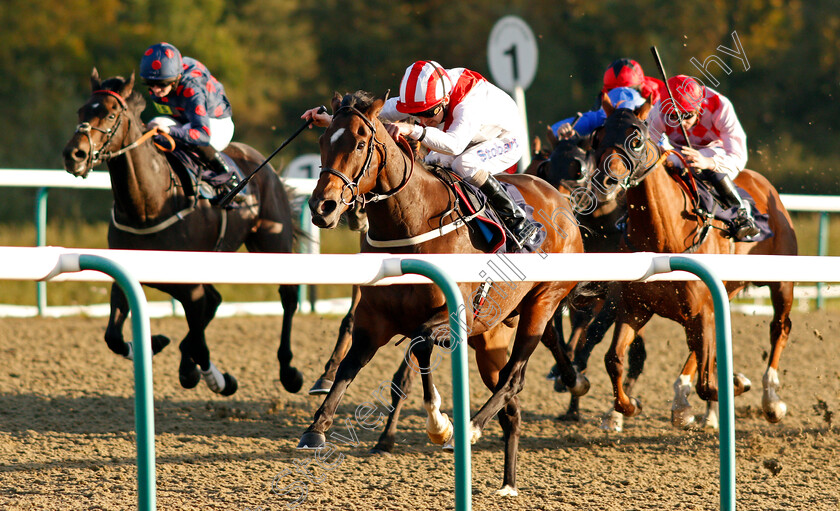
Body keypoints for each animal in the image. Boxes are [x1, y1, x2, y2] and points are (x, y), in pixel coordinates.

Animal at [63, 69, 306, 396]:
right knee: (214, 301)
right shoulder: (130, 272)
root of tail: (264, 164)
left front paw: (214, 378)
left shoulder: (189, 286)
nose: (74, 154)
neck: (147, 206)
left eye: (111, 114)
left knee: (288, 296)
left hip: (272, 240)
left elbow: (199, 339)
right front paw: (154, 344)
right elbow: (113, 336)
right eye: (81, 111)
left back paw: (289, 371)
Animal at [300, 92, 584, 496]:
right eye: (324, 141)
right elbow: (348, 368)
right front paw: (316, 428)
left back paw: (474, 427)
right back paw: (508, 481)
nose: (322, 207)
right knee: (512, 400)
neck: (413, 221)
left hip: (542, 303)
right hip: (491, 340)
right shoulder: (373, 324)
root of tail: (560, 199)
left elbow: (419, 347)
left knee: (514, 377)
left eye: (358, 144)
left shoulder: (451, 315)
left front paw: (439, 424)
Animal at [592, 97, 796, 432]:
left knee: (779, 327)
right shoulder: (635, 308)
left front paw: (737, 382)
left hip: (781, 283)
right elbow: (614, 359)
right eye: (597, 138)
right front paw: (627, 406)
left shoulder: (700, 309)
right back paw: (686, 406)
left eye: (636, 140)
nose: (604, 182)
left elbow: (707, 380)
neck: (663, 237)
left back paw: (771, 401)